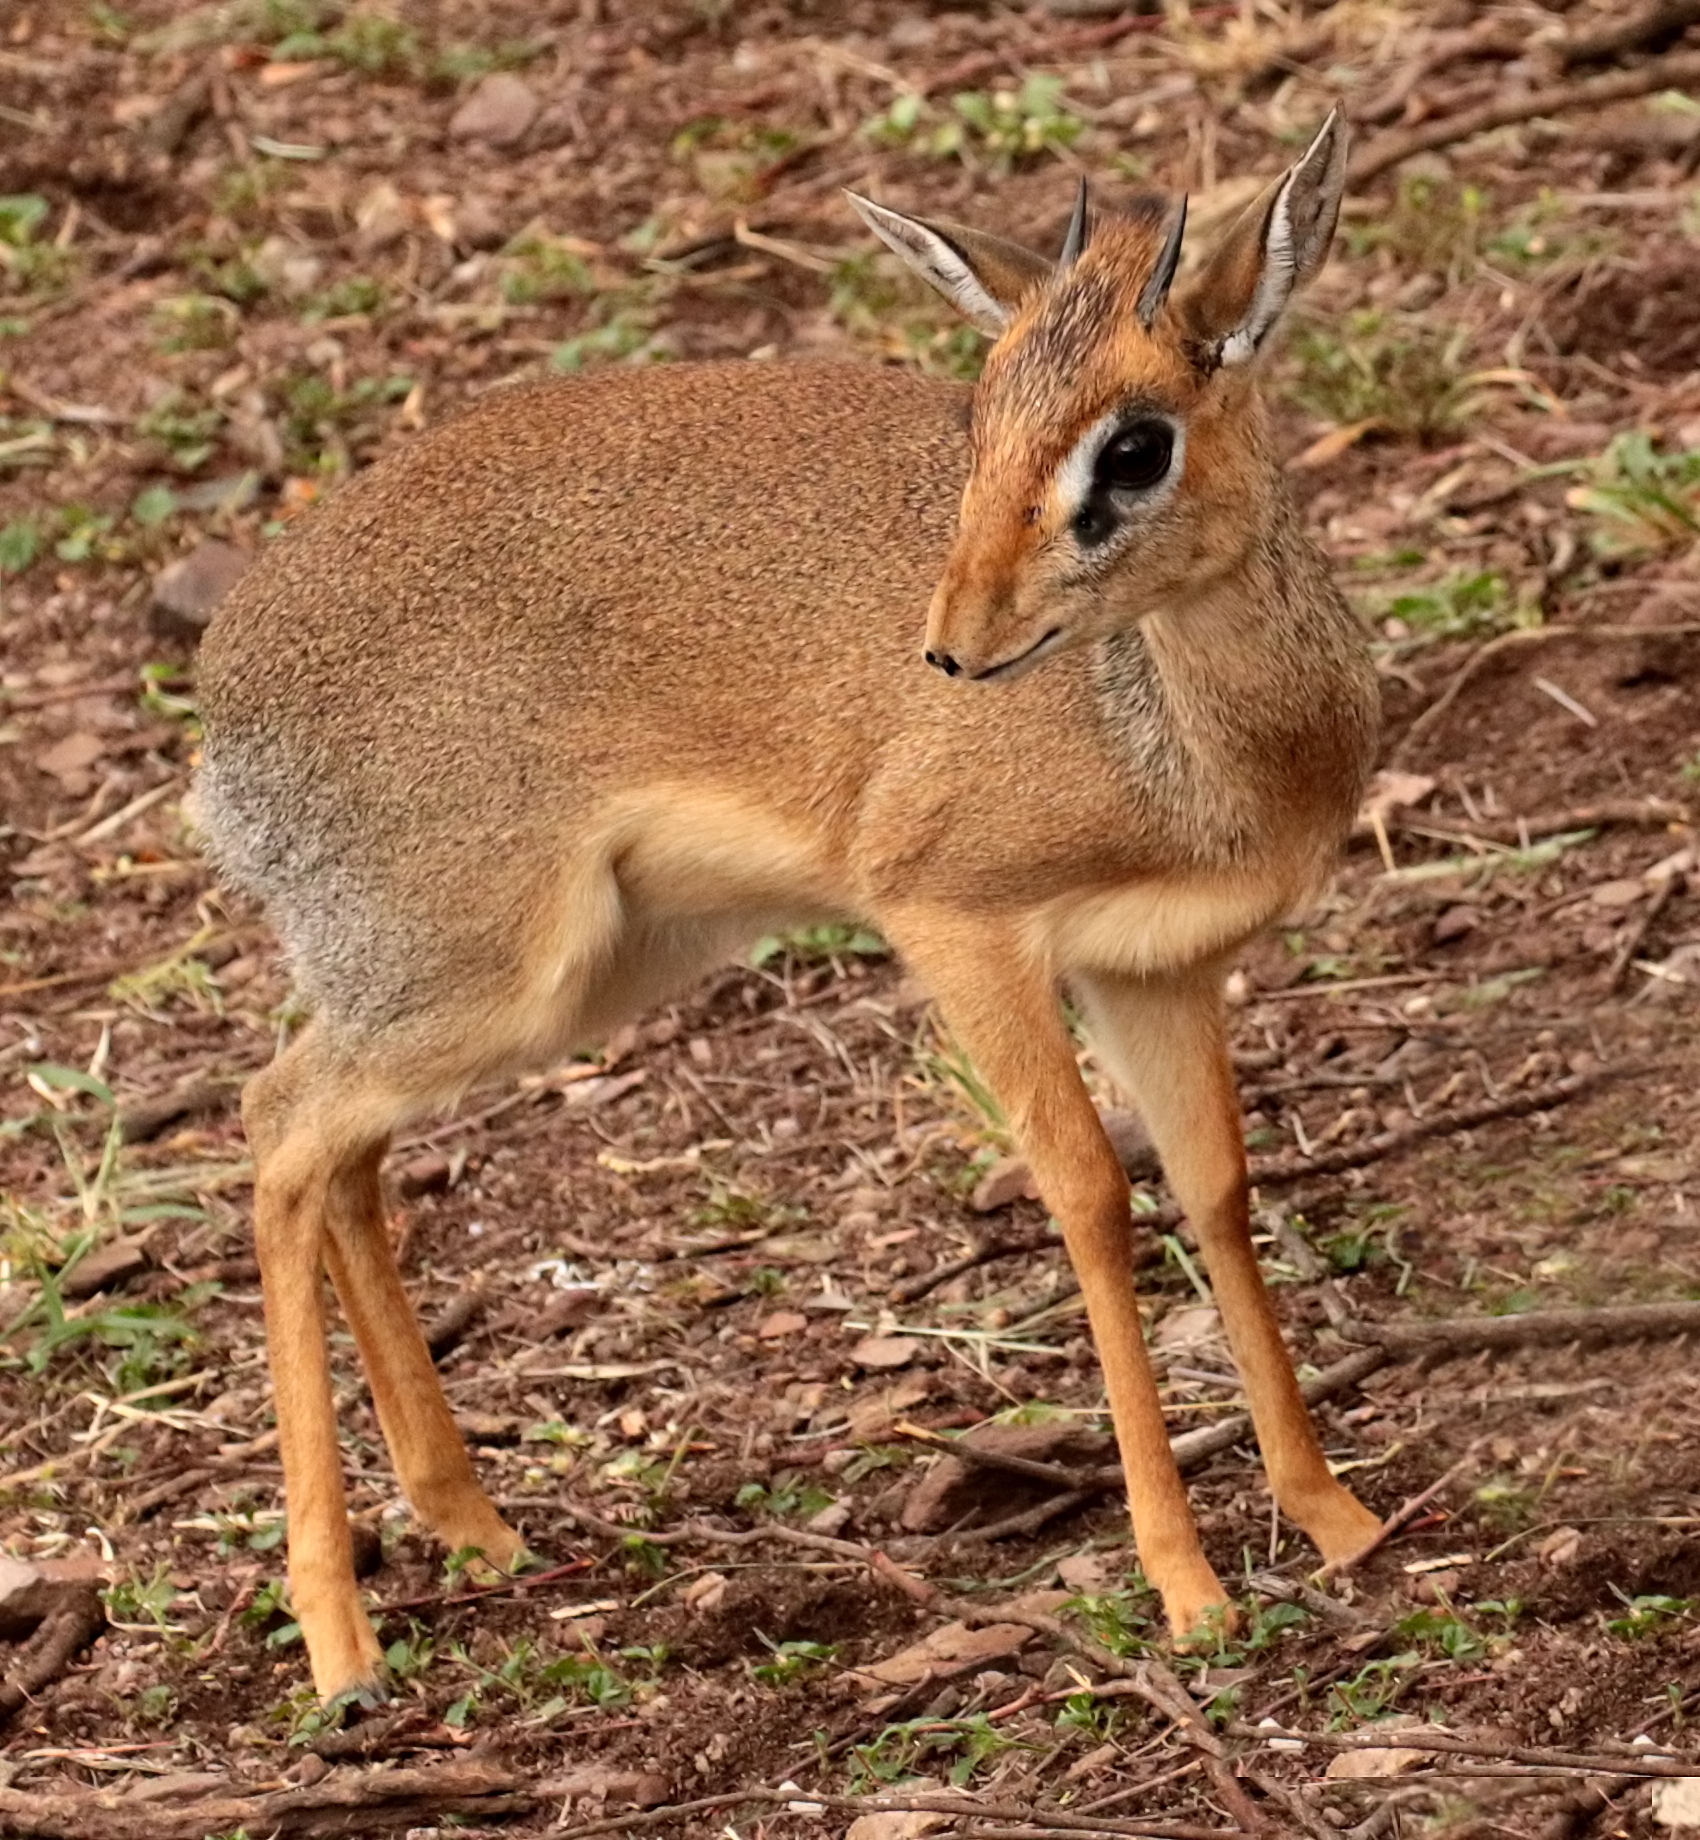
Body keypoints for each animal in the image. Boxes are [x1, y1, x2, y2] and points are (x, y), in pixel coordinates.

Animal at [195, 111, 1383, 1692]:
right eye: (978, 418)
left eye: (1135, 443)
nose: (952, 648)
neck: (1192, 748)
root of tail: (223, 702)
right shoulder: (956, 926)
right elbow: (1086, 1195)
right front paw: (1187, 1586)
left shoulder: (1158, 968)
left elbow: (1218, 1191)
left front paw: (1336, 1516)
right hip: (483, 974)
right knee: (278, 1123)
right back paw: (339, 1640)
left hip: (558, 976)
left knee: (340, 1153)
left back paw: (471, 1524)